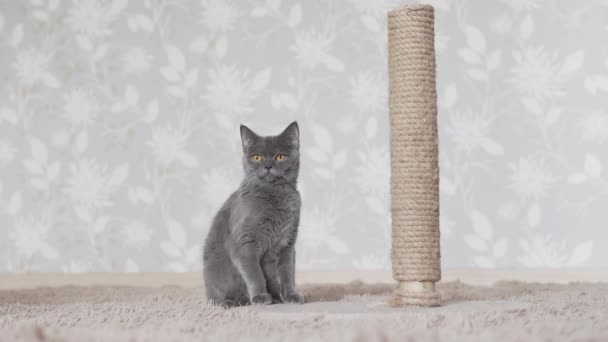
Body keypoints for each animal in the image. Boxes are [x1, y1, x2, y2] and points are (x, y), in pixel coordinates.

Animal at [202, 122, 304, 308]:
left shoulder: (288, 244)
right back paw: (230, 302)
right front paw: (260, 297)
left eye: (280, 156)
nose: (268, 166)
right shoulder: (244, 242)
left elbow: (287, 273)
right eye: (257, 157)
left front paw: (291, 296)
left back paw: (276, 298)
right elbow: (255, 273)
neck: (274, 195)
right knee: (216, 297)